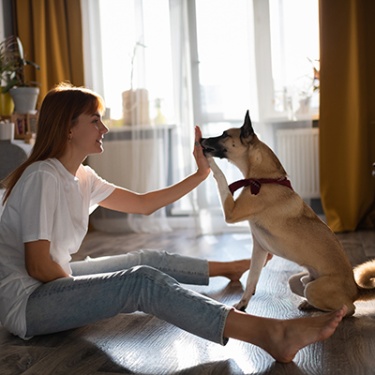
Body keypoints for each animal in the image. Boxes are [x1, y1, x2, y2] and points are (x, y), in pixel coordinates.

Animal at [201, 110, 375, 316]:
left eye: (224, 134)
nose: (201, 139)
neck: (264, 179)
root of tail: (355, 289)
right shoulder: (259, 249)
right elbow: (251, 280)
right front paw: (242, 305)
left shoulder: (231, 212)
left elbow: (220, 176)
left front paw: (208, 160)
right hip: (297, 281)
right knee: (304, 285)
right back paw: (308, 304)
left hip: (314, 289)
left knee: (349, 308)